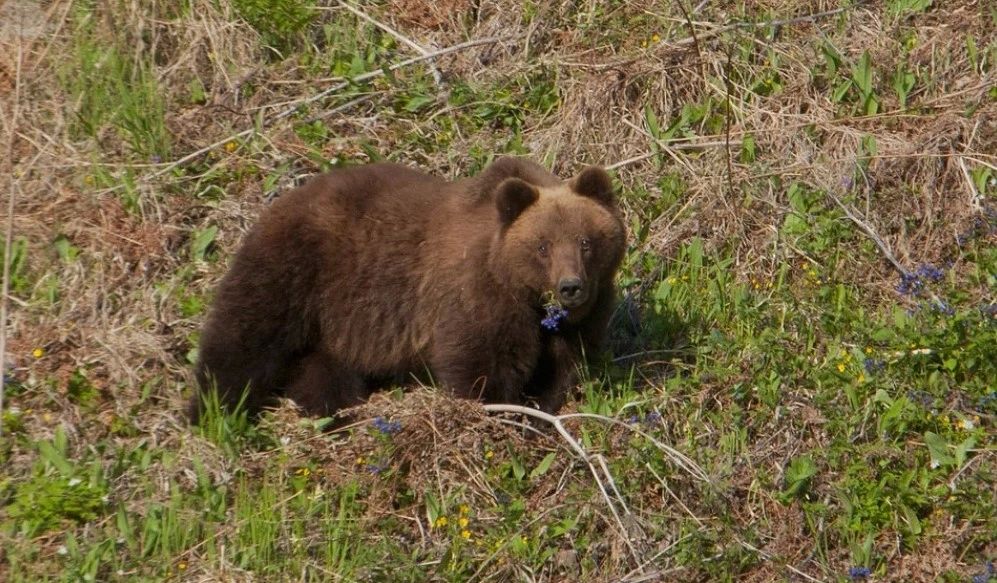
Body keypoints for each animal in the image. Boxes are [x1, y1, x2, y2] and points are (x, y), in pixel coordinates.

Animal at [188, 157, 627, 424]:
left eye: (586, 241)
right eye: (542, 246)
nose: (570, 287)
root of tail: (278, 202)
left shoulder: (579, 317)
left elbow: (561, 364)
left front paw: (539, 407)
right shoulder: (478, 294)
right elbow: (483, 364)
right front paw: (499, 411)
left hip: (333, 324)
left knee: (322, 368)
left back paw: (328, 408)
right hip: (298, 266)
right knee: (245, 333)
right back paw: (212, 411)